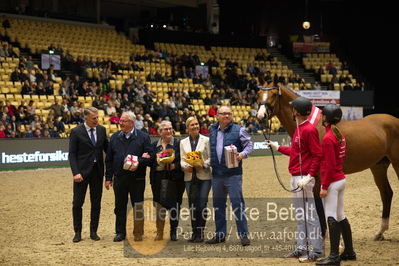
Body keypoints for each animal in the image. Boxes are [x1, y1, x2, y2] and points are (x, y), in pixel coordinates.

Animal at [258, 83, 399, 241]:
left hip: (396, 163)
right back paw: (380, 232)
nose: (260, 116)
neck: (313, 126)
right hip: (378, 166)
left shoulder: (317, 177)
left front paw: (321, 235)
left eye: (274, 94)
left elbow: (319, 206)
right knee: (386, 193)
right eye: (258, 94)